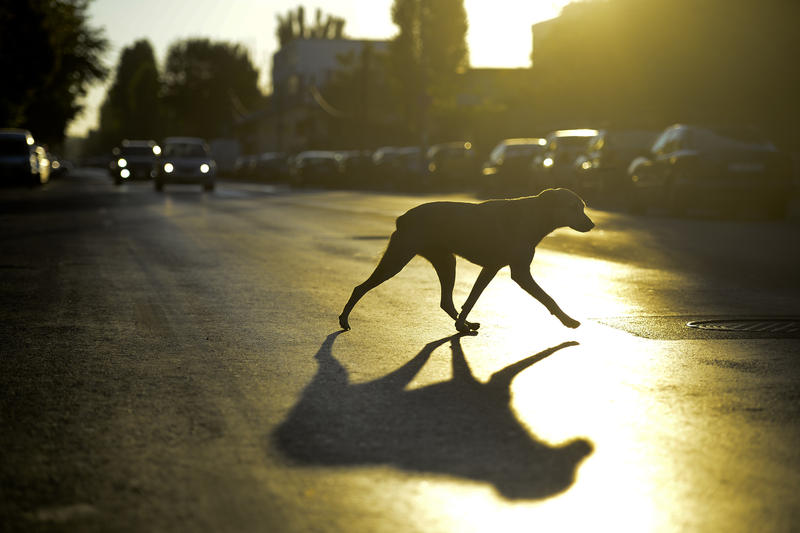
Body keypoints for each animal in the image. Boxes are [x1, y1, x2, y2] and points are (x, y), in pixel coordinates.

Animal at [338, 186, 592, 328]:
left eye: (583, 206)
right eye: (574, 207)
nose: (592, 225)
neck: (535, 216)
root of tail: (402, 218)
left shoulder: (491, 268)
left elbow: (470, 300)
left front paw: (462, 323)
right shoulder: (519, 272)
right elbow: (548, 298)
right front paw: (569, 321)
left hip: (446, 261)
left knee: (446, 301)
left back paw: (465, 324)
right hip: (397, 259)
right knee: (360, 288)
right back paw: (344, 319)